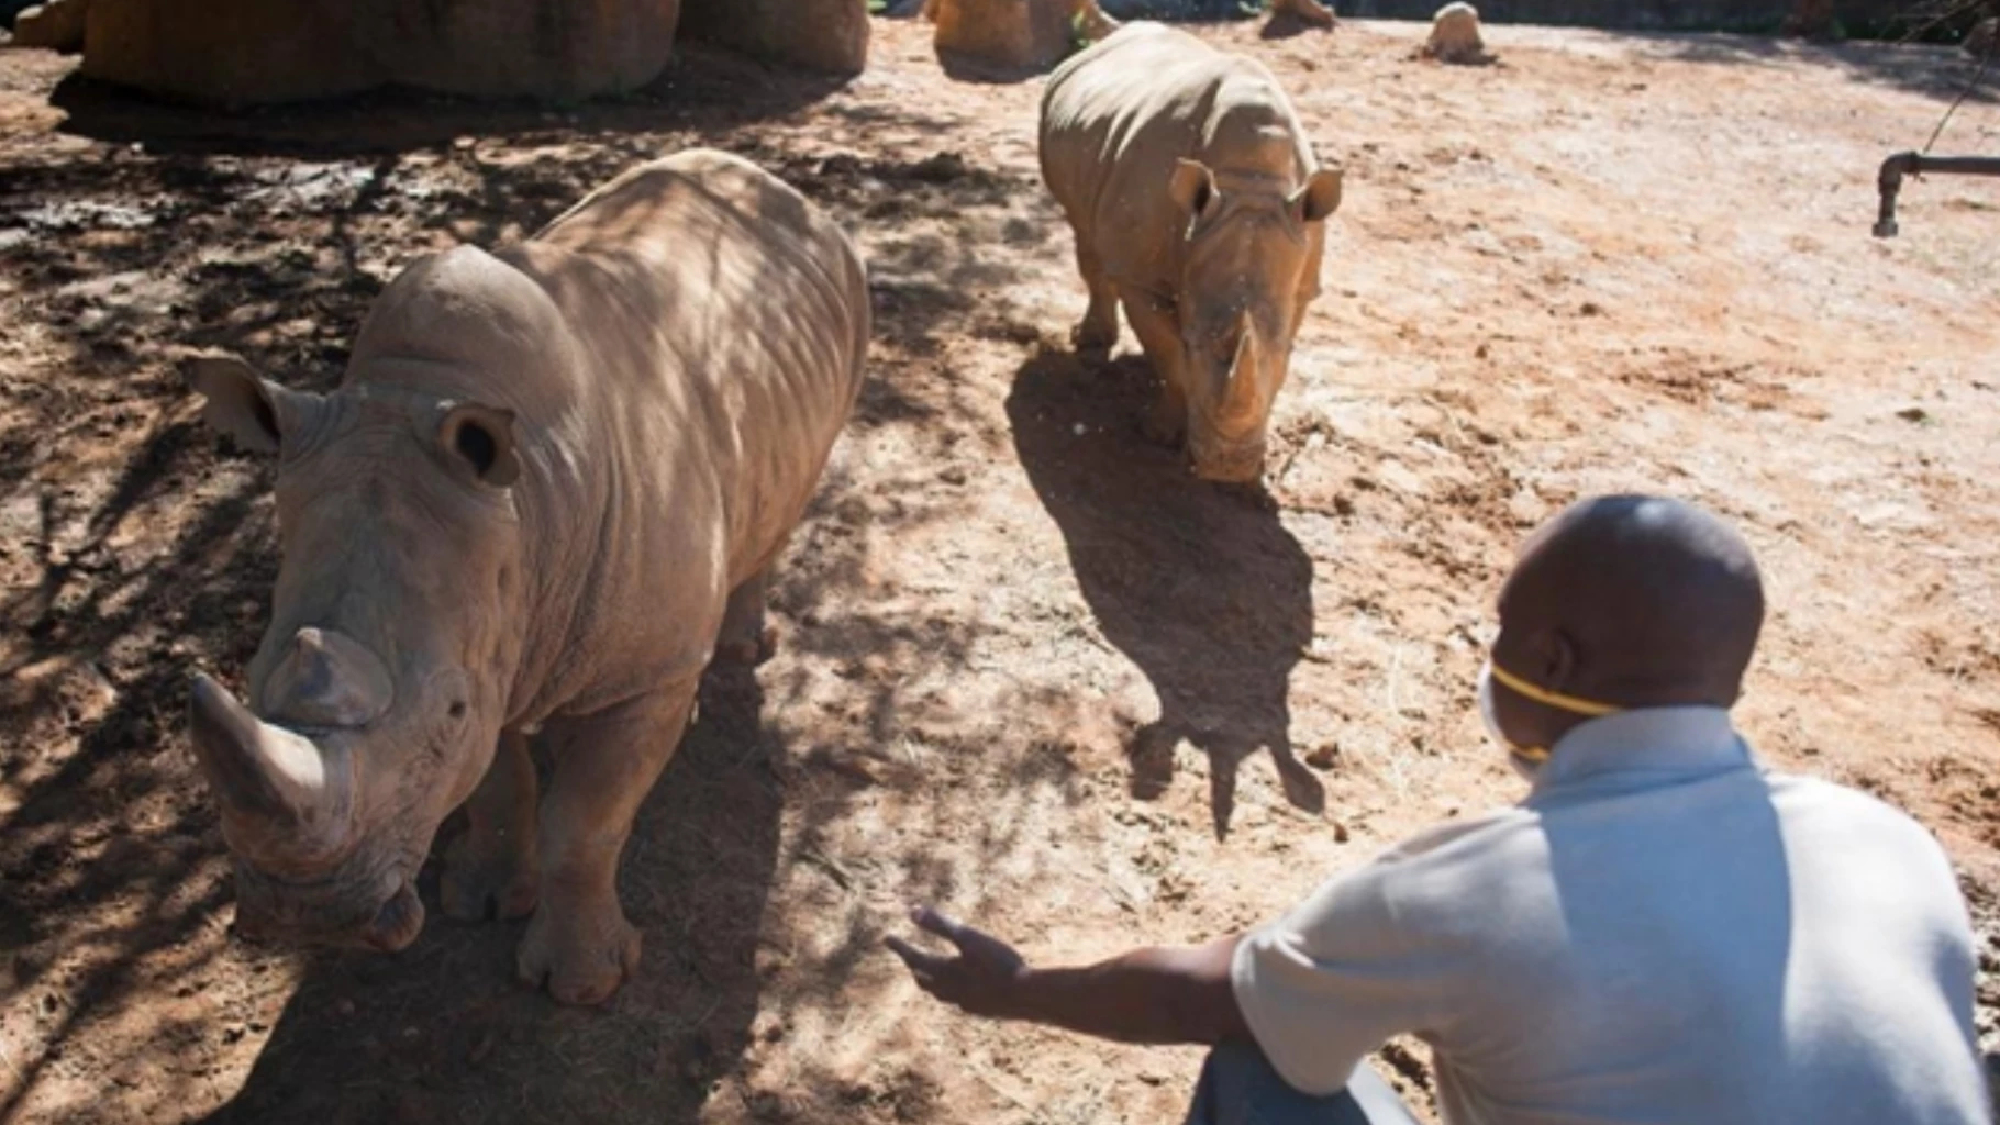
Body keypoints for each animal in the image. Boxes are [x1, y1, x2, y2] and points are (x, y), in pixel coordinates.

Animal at [183, 149, 869, 1004]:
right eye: (251, 681)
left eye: (448, 710)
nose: (308, 916)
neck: (533, 500)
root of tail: (783, 189)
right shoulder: (490, 621)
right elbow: (497, 779)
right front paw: (478, 900)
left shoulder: (652, 669)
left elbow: (585, 819)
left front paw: (581, 984)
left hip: (849, 303)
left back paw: (743, 648)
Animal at [1038, 22, 1342, 482]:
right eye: (1194, 343)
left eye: (1287, 355)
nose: (1229, 468)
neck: (1248, 184)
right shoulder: (1141, 277)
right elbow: (1169, 354)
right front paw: (1160, 435)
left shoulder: (1302, 279)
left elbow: (1275, 340)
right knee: (1085, 233)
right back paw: (1090, 341)